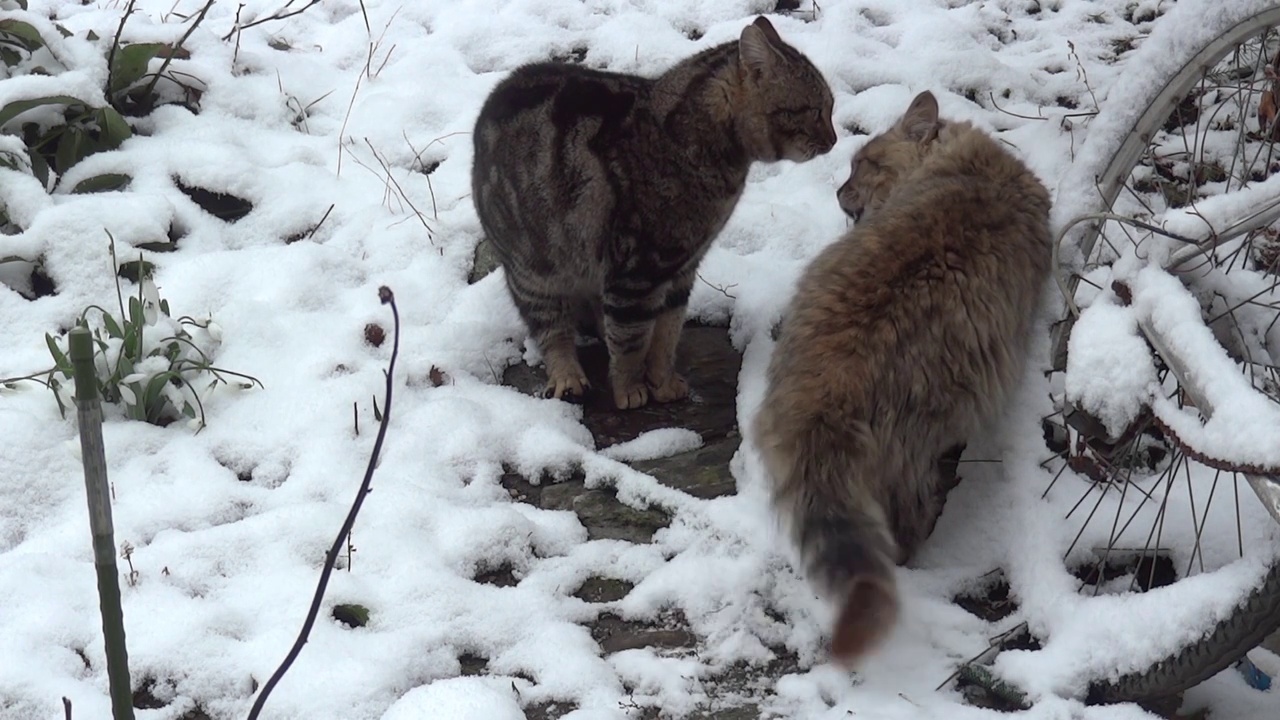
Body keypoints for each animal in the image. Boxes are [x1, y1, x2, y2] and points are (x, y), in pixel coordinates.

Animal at [476, 16, 834, 407]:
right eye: (816, 110)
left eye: (830, 108)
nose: (833, 140)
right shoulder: (638, 269)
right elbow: (631, 341)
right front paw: (630, 388)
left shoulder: (681, 268)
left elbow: (666, 333)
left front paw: (662, 381)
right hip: (534, 271)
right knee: (552, 330)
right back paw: (568, 375)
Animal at [747, 92, 1049, 666]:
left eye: (863, 164)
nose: (839, 190)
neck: (979, 170)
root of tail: (829, 378)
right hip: (914, 449)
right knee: (904, 531)